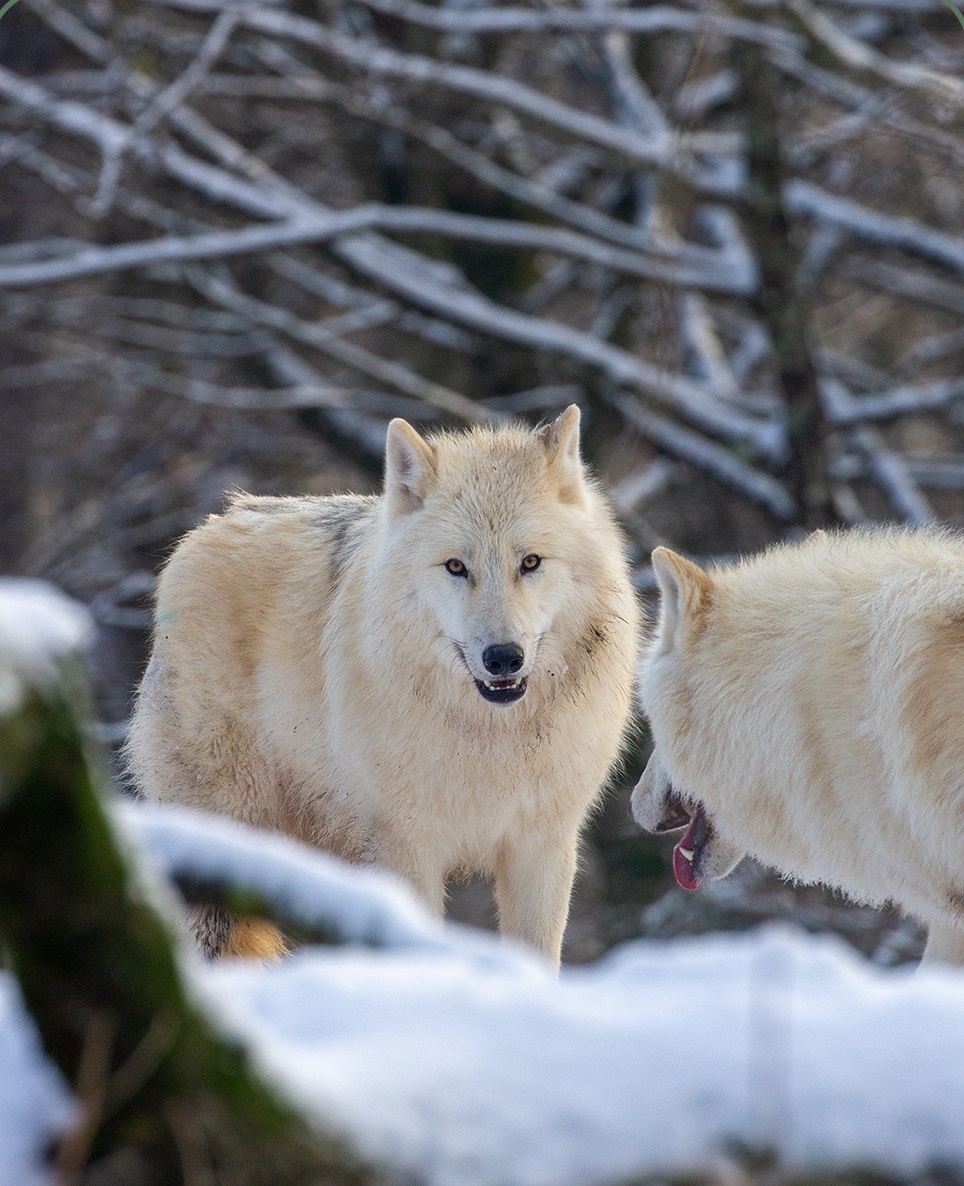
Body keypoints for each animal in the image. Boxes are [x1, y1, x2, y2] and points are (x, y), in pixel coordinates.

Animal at [128, 407, 640, 963]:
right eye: (456, 567)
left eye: (530, 562)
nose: (503, 657)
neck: (492, 738)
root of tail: (208, 528)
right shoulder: (407, 847)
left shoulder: (541, 846)